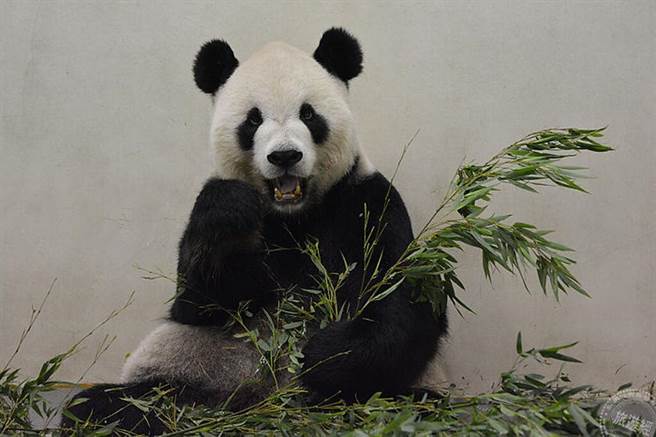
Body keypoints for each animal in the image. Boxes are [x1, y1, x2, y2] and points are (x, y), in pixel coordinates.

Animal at [62, 27, 446, 432]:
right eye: (253, 120)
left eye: (308, 114)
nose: (284, 156)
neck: (293, 216)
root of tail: (261, 404)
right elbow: (198, 302)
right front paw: (229, 213)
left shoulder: (367, 204)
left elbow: (403, 299)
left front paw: (320, 356)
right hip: (191, 369)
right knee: (116, 404)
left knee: (410, 408)